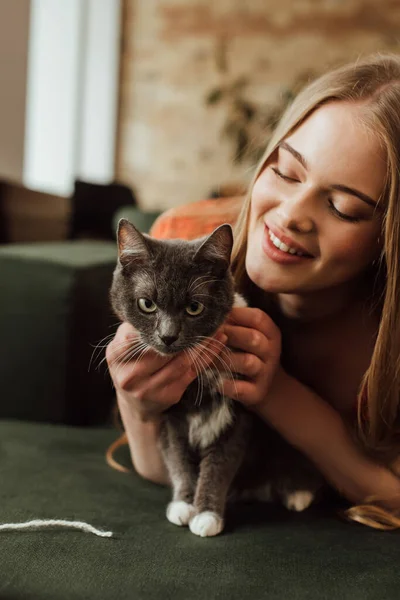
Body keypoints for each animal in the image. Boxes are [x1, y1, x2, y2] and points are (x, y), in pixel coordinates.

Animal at [111, 218, 324, 536]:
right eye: (147, 304)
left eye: (194, 307)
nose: (168, 336)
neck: (196, 384)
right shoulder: (170, 417)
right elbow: (178, 459)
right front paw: (184, 505)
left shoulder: (237, 414)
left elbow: (220, 466)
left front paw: (206, 516)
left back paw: (297, 494)